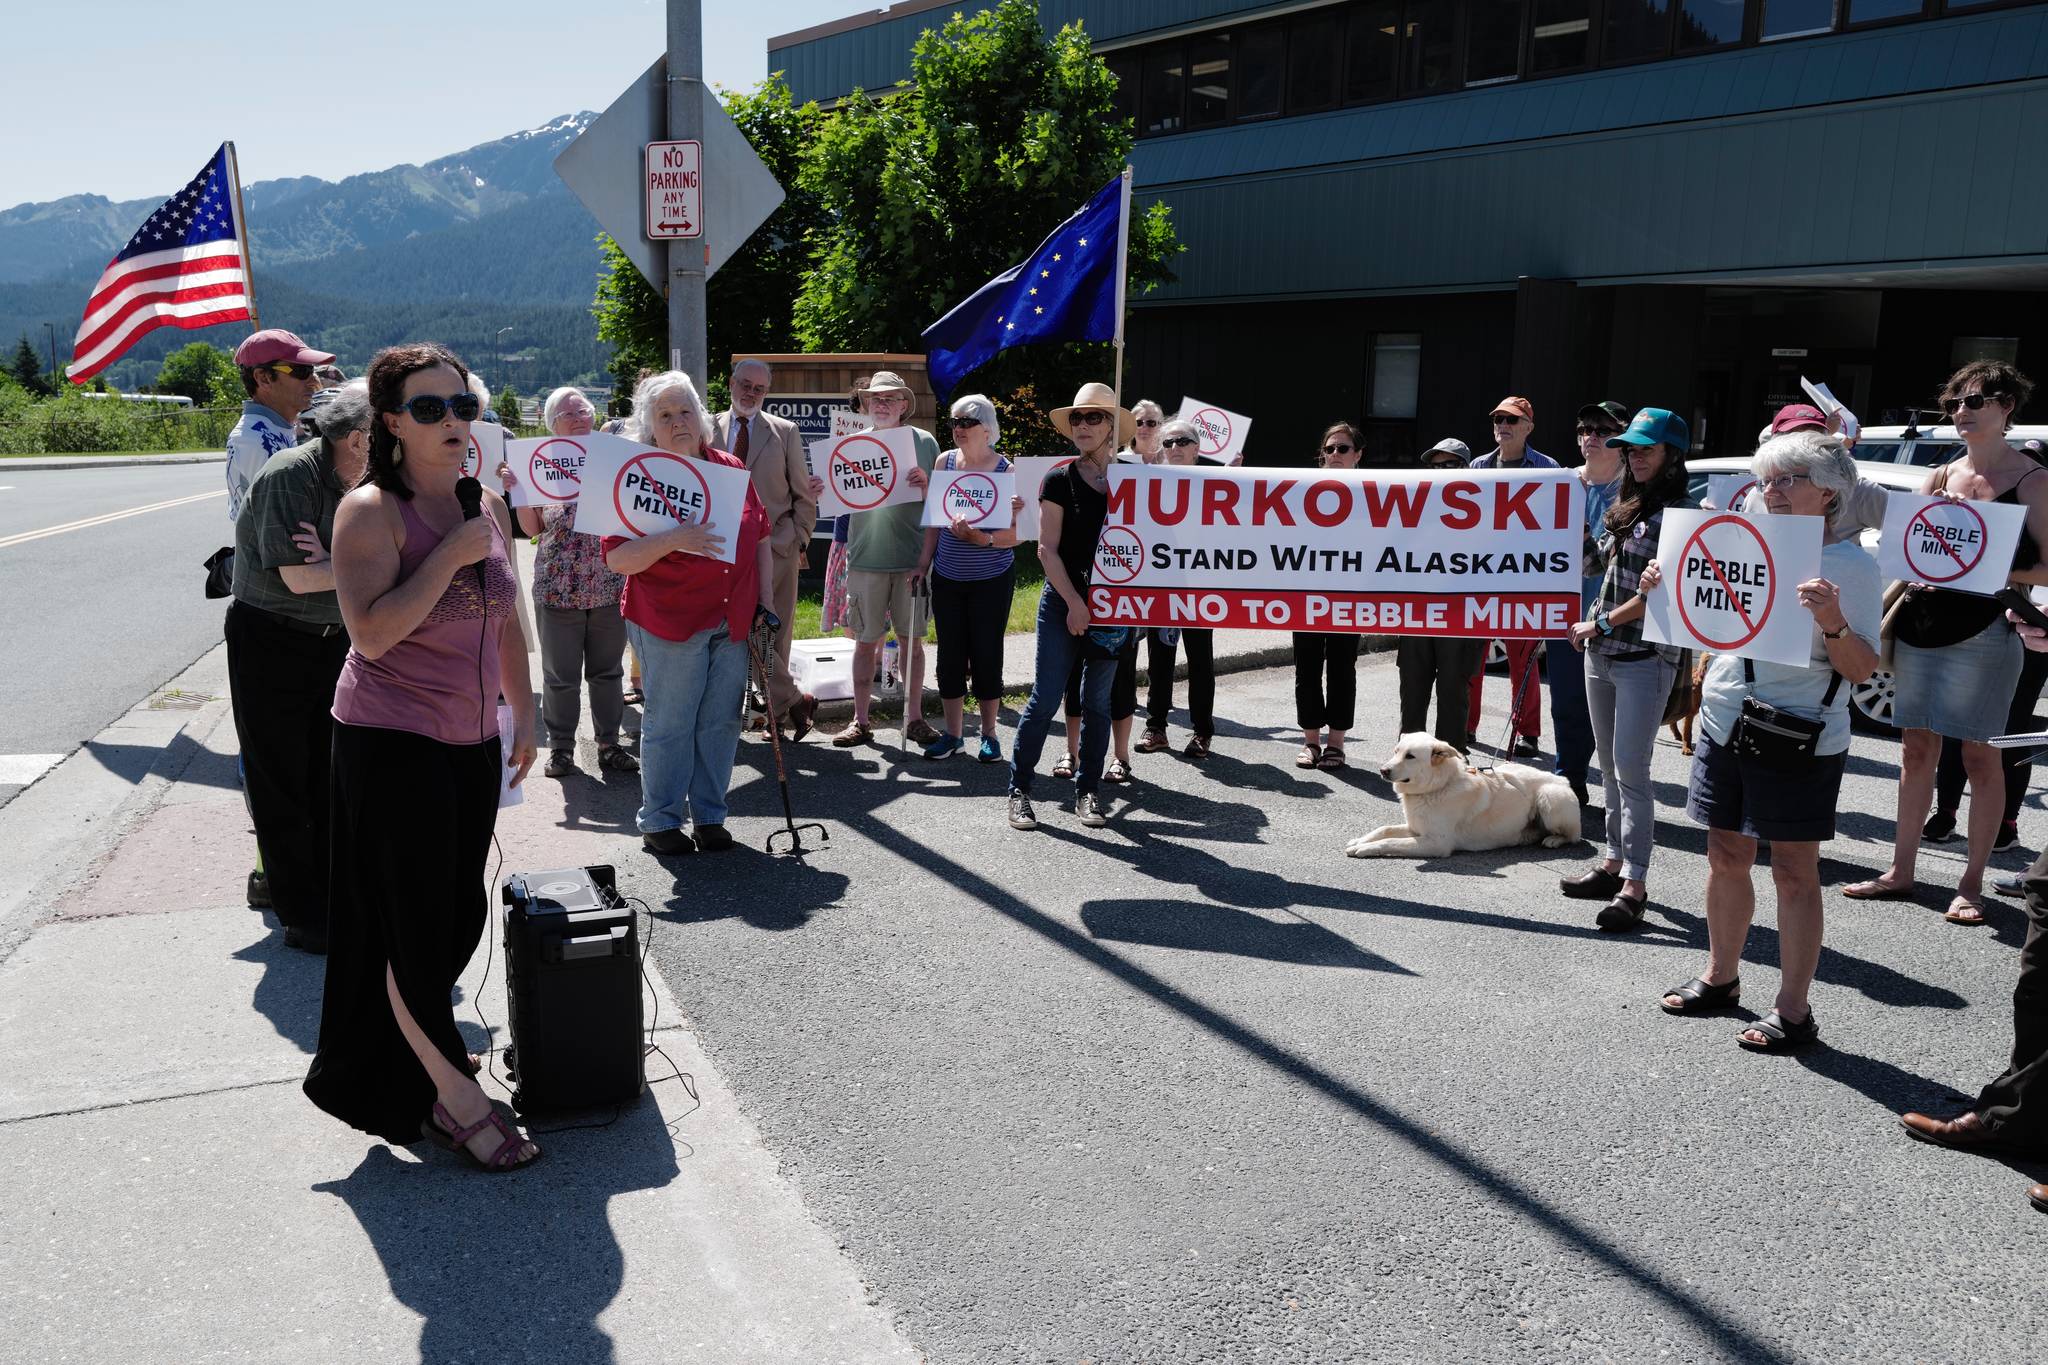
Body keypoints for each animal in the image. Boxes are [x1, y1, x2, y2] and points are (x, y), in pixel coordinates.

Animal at [1343, 732, 1581, 859]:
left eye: (1410, 756)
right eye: (1396, 752)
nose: (1383, 770)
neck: (1437, 788)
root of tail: (1563, 779)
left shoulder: (1436, 843)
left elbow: (1391, 841)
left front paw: (1363, 849)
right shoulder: (1416, 829)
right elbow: (1385, 830)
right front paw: (1359, 841)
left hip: (1549, 799)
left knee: (1573, 837)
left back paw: (1554, 839)